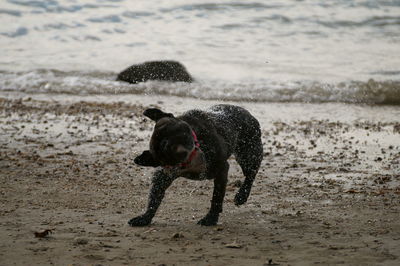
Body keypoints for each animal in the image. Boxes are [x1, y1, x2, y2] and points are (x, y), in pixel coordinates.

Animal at [130, 105, 264, 225]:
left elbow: (217, 197)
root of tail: (248, 114)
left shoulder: (221, 170)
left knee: (250, 174)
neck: (192, 158)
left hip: (248, 155)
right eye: (164, 148)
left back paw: (242, 195)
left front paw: (210, 218)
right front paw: (145, 217)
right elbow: (155, 197)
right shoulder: (164, 175)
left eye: (180, 131)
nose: (177, 145)